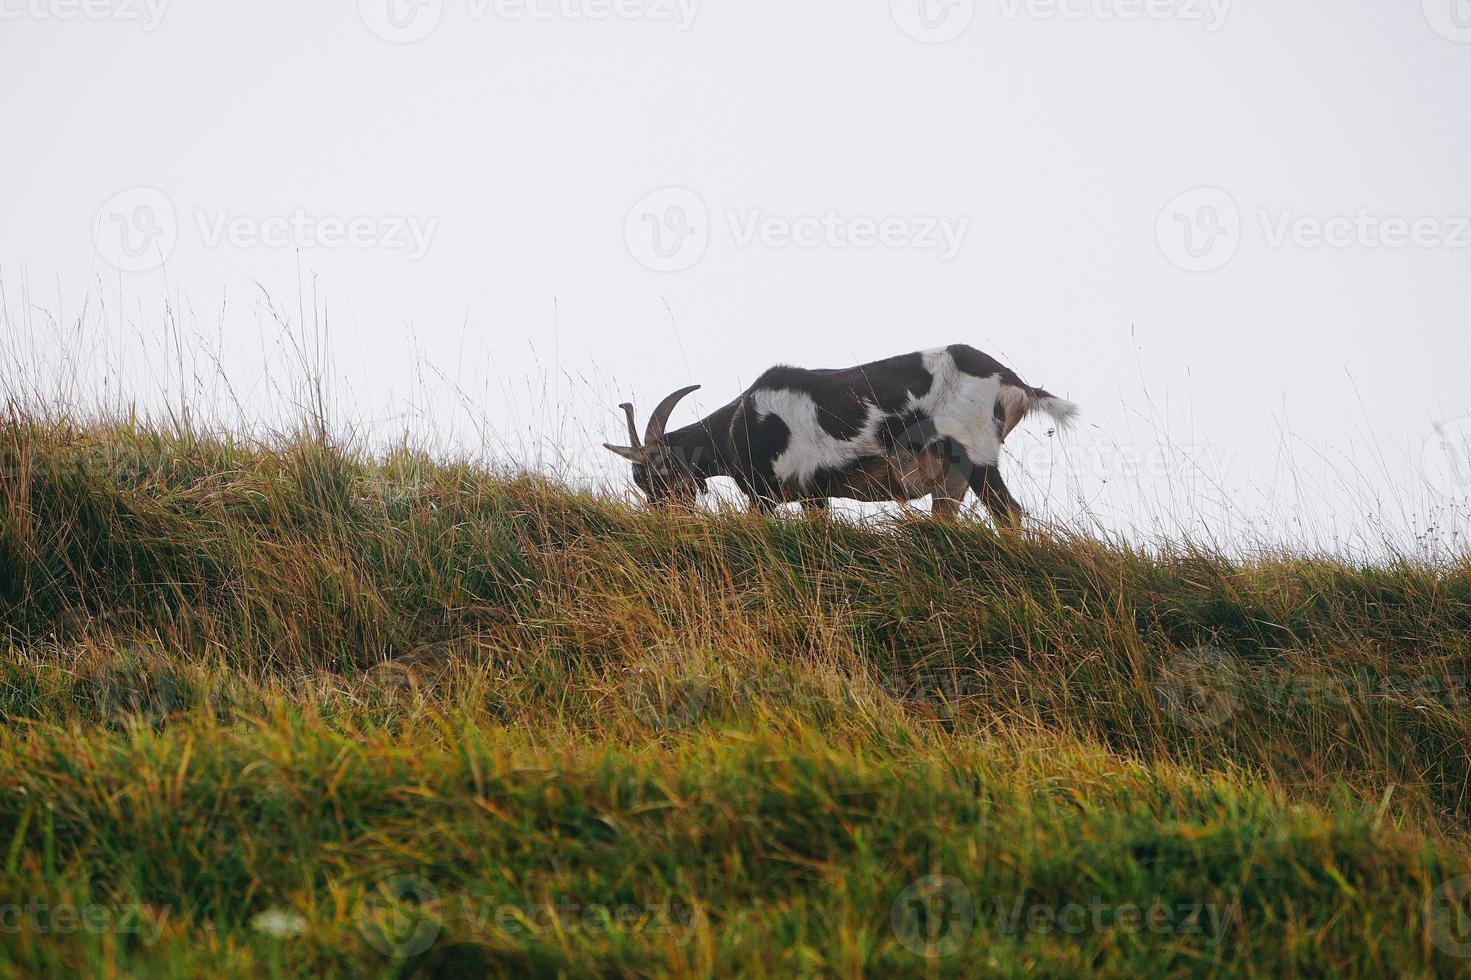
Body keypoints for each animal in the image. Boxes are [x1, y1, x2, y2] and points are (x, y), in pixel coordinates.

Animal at [603, 347, 1076, 523]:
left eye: (656, 476)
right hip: (952, 480)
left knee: (1009, 512)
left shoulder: (768, 493)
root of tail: (1012, 381)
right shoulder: (814, 494)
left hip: (975, 454)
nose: (666, 517)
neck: (742, 420)